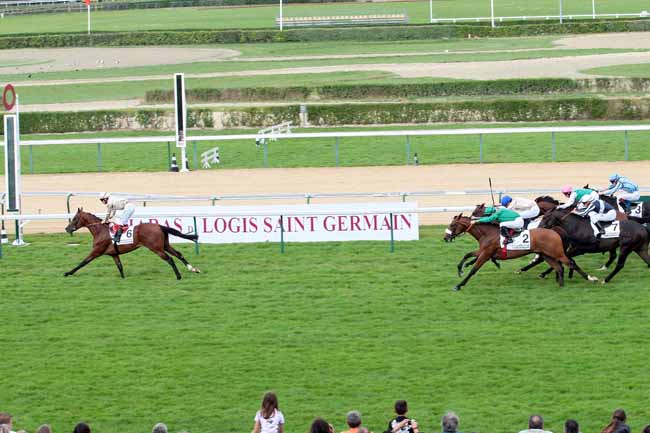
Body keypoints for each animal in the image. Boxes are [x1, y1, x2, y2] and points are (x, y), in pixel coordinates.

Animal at [64, 209, 200, 280]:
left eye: (75, 218)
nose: (67, 228)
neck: (100, 231)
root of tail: (158, 226)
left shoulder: (97, 251)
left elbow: (83, 262)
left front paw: (68, 273)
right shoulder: (114, 254)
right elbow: (120, 266)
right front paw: (123, 278)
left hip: (155, 248)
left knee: (170, 258)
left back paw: (178, 276)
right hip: (164, 245)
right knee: (178, 254)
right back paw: (193, 269)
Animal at [440, 213, 588, 290]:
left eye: (452, 225)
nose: (446, 237)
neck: (488, 233)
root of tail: (555, 231)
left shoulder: (486, 253)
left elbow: (474, 269)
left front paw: (459, 285)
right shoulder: (483, 251)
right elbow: (467, 255)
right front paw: (460, 269)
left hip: (556, 253)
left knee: (570, 263)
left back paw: (590, 279)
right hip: (547, 255)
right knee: (559, 267)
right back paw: (561, 285)